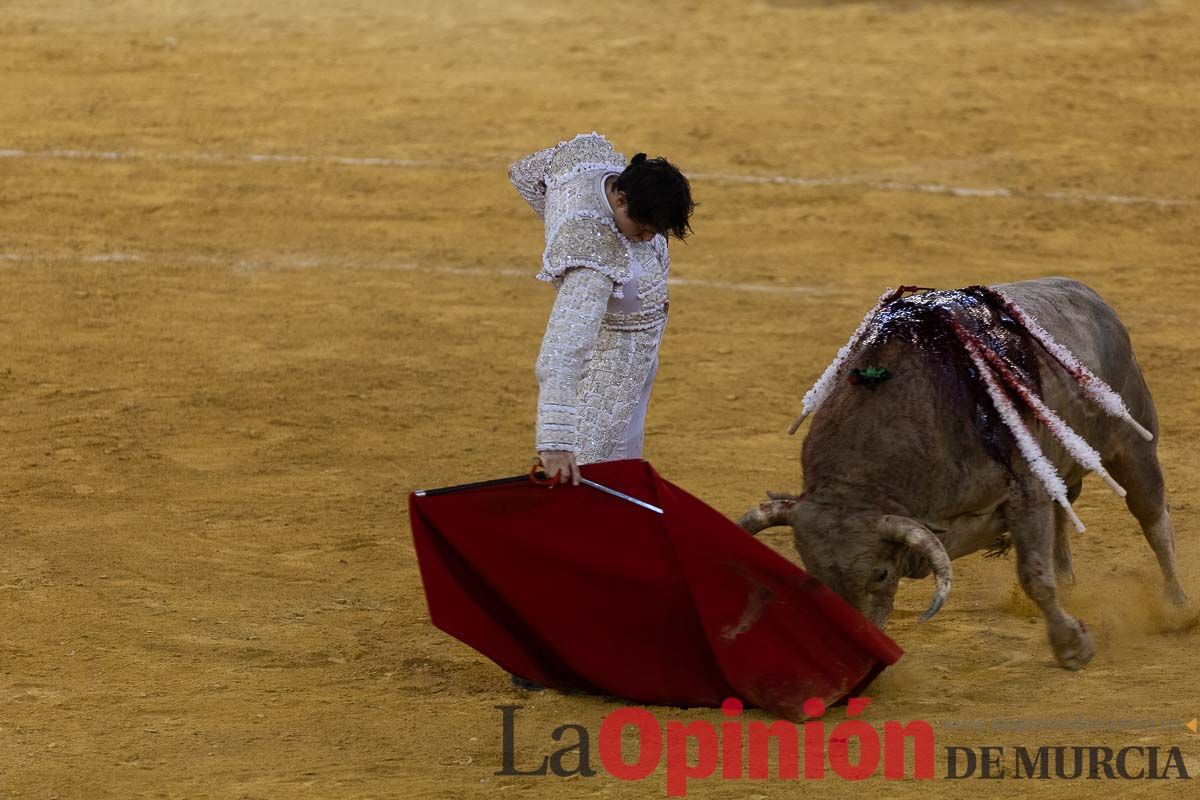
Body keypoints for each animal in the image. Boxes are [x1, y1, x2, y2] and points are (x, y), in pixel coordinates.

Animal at [739, 278, 1190, 666]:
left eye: (880, 573)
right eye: (812, 572)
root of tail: (1093, 298)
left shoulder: (1026, 491)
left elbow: (1034, 574)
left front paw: (1071, 648)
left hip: (1134, 447)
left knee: (1153, 518)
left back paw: (1178, 607)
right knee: (1066, 513)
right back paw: (1073, 585)